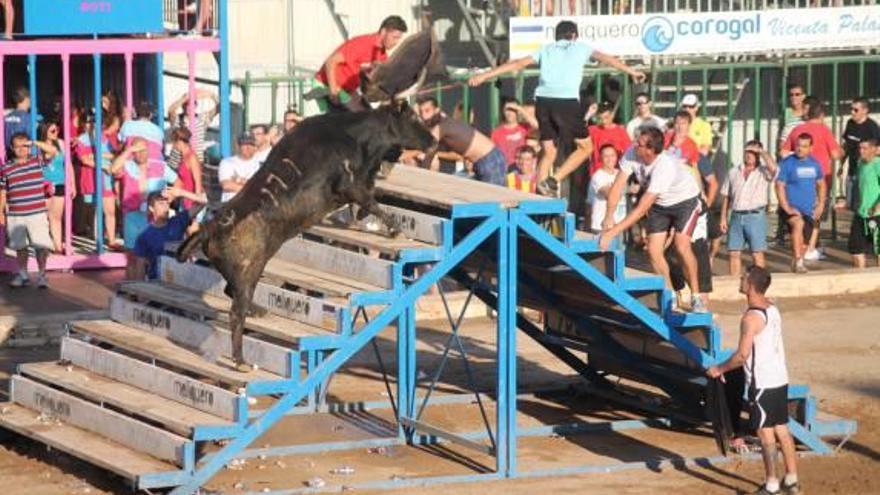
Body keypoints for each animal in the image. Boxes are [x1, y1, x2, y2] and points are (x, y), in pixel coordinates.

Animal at [179, 101, 436, 366]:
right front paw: (395, 230)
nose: (434, 141)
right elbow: (371, 201)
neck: (356, 135)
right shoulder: (349, 185)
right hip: (250, 269)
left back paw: (258, 312)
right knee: (235, 312)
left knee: (231, 292)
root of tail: (209, 228)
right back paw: (240, 360)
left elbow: (369, 200)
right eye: (413, 118)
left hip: (242, 273)